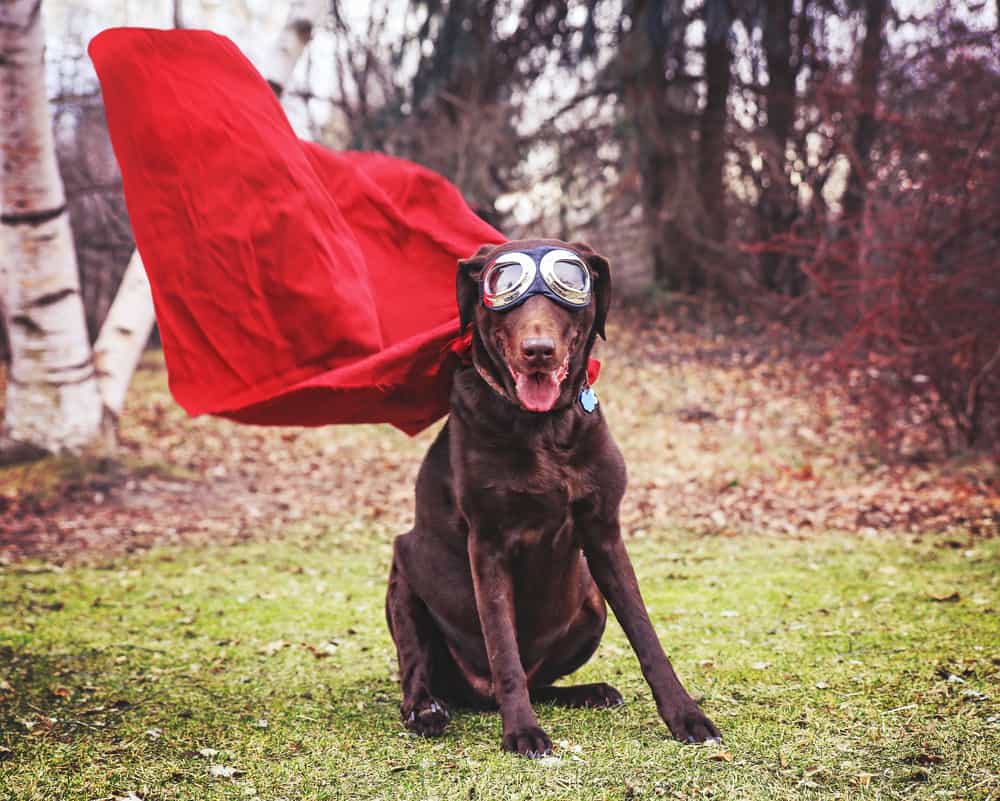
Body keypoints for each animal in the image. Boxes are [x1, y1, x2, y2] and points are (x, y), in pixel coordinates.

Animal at [382, 239, 720, 756]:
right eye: (504, 287)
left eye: (570, 283)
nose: (538, 351)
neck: (545, 429)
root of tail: (474, 694)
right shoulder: (488, 544)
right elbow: (503, 647)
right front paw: (522, 731)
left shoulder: (604, 533)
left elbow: (646, 635)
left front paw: (686, 716)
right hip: (403, 579)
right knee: (421, 670)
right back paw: (427, 710)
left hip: (591, 603)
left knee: (539, 680)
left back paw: (590, 692)